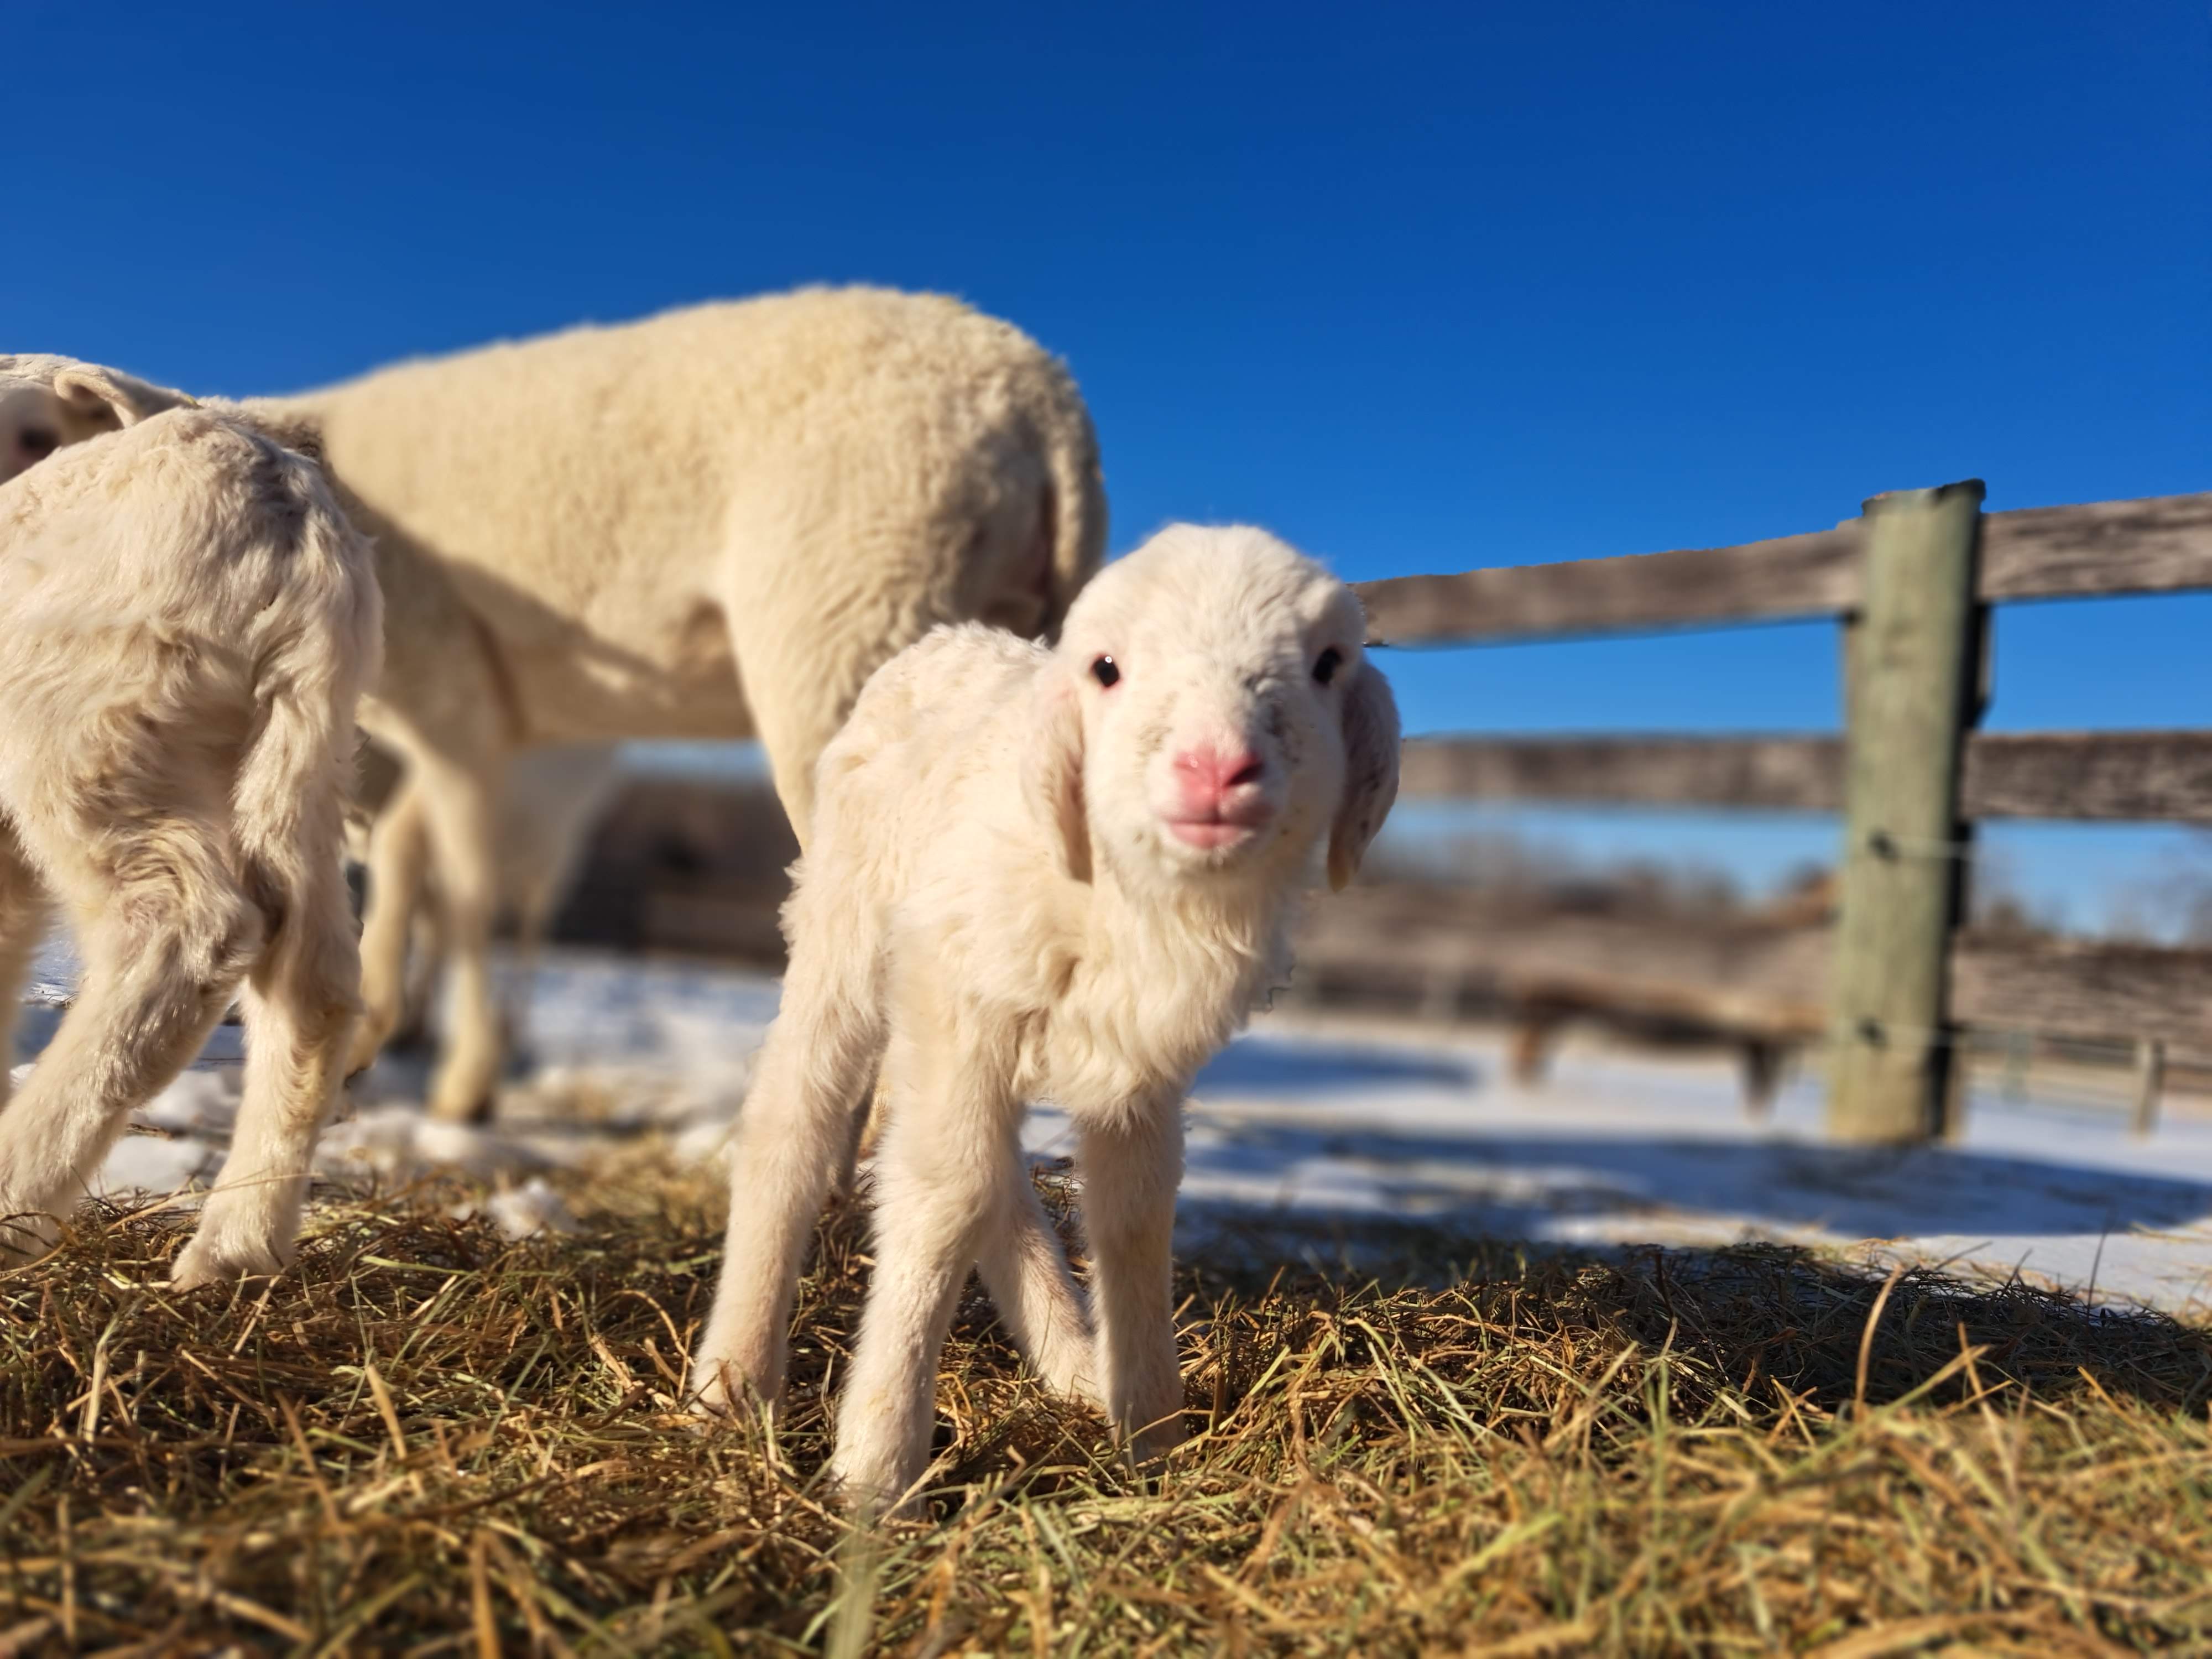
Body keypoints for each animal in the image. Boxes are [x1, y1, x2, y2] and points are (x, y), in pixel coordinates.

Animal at [0, 386, 382, 1283]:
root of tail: (294, 516)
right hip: (300, 752)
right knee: (316, 981)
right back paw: (236, 1251)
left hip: (85, 724)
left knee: (182, 929)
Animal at [3, 285, 1107, 1123]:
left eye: (34, 433)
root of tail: (1044, 403)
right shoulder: (419, 725)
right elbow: (409, 872)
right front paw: (378, 1039)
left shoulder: (455, 696)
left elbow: (466, 891)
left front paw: (464, 1084)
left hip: (854, 625)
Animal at [685, 524, 1401, 1510]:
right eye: (1106, 669)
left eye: (1329, 664)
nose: (1216, 769)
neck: (1132, 905)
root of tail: (948, 636)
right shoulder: (958, 997)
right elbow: (946, 1196)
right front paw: (877, 1468)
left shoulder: (1143, 1060)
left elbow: (1134, 1215)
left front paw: (1152, 1435)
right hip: (849, 922)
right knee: (798, 1118)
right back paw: (733, 1382)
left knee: (994, 1173)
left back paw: (1071, 1362)